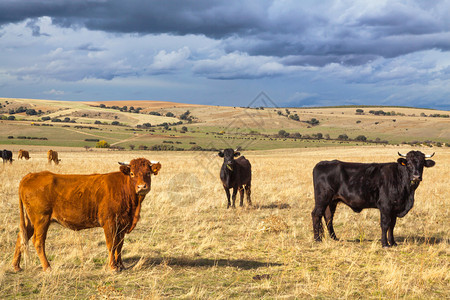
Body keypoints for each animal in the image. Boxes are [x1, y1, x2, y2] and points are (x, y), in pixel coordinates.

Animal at [11, 157, 163, 272]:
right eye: (132, 173)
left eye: (148, 173)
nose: (142, 187)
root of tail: (30, 175)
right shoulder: (109, 222)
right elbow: (112, 244)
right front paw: (113, 267)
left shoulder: (122, 224)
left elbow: (119, 245)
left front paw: (120, 265)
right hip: (41, 219)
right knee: (38, 241)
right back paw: (47, 267)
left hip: (31, 221)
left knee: (21, 237)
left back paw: (16, 266)